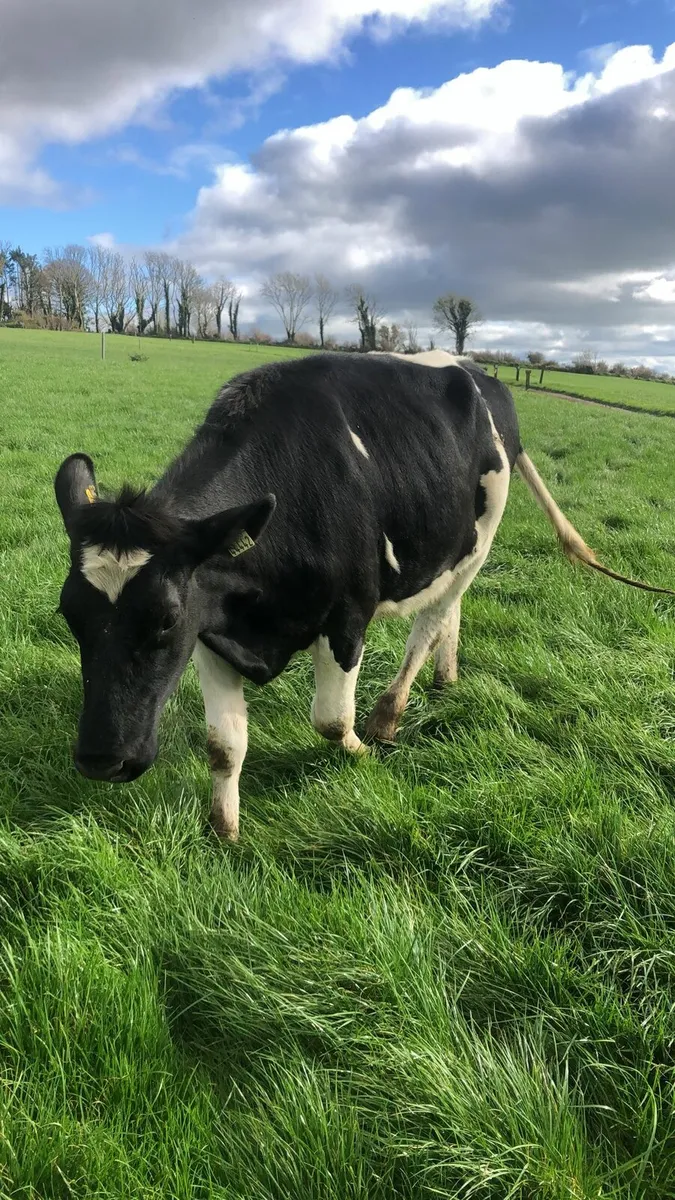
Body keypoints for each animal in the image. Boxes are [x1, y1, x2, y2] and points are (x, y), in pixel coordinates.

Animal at [54, 350, 674, 839]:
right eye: (68, 616)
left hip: (480, 538)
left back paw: (387, 715)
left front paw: (360, 751)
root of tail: (478, 371)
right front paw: (223, 831)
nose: (101, 760)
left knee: (431, 620)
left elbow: (330, 720)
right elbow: (223, 744)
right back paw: (446, 675)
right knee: (449, 612)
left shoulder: (347, 615)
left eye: (164, 618)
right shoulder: (214, 631)